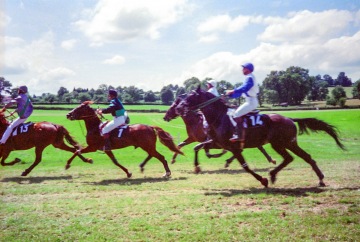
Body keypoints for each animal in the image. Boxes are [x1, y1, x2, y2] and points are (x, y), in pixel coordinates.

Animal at [175, 88, 346, 188]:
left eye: (191, 96)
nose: (178, 108)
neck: (219, 117)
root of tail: (290, 118)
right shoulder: (217, 142)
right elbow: (199, 146)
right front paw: (198, 166)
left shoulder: (234, 147)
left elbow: (245, 166)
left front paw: (262, 180)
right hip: (286, 144)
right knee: (301, 157)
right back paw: (317, 179)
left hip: (281, 143)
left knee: (294, 158)